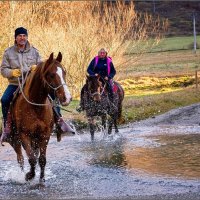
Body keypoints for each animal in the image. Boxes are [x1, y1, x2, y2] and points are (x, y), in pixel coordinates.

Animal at [1, 52, 71, 184]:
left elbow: (42, 159)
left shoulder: (45, 135)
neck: (35, 106)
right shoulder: (24, 135)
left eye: (64, 72)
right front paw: (29, 175)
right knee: (21, 158)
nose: (67, 98)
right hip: (15, 140)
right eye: (51, 74)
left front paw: (41, 178)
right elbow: (32, 158)